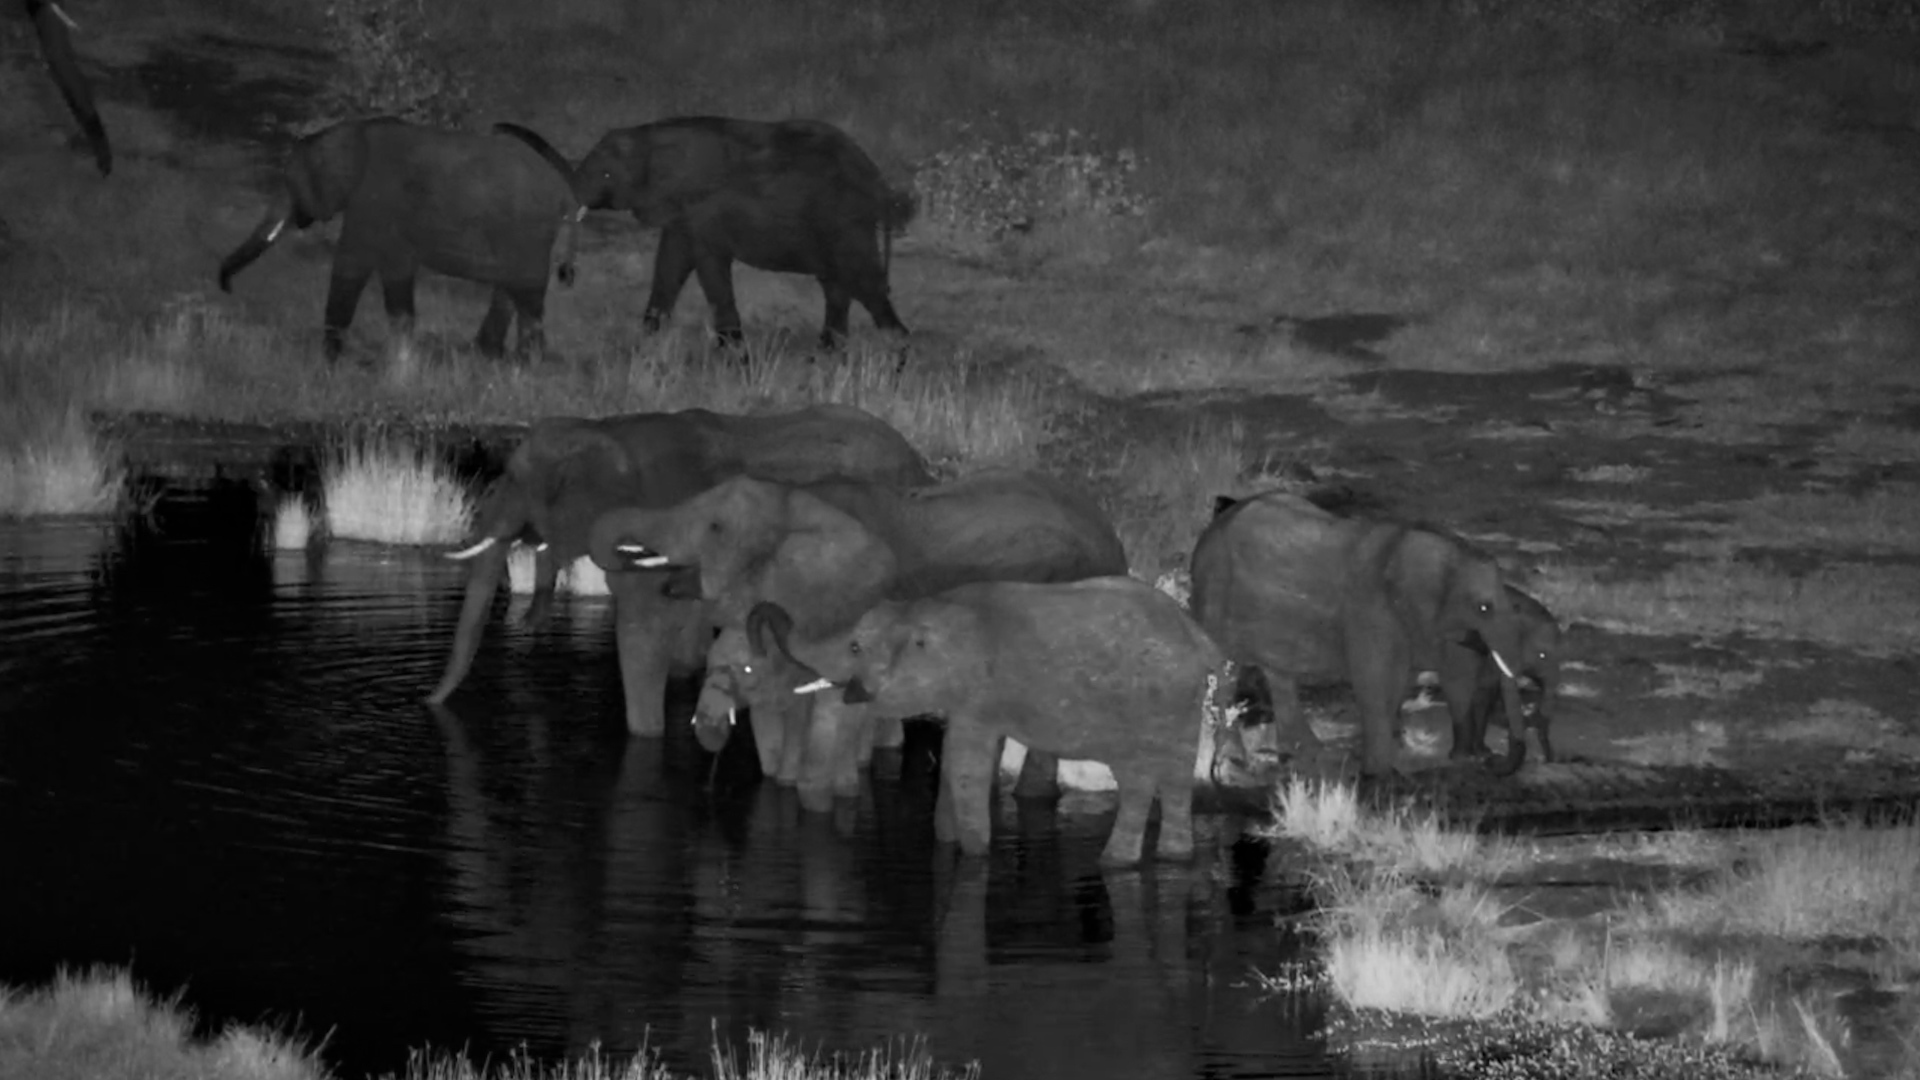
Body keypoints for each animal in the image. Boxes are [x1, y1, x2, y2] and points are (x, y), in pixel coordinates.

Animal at [217, 117, 584, 363]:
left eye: (291, 184)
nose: (227, 287)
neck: (352, 133)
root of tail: (566, 193)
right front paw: (401, 359)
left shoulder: (373, 202)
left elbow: (354, 264)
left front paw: (332, 362)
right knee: (511, 292)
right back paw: (488, 357)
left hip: (528, 234)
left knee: (528, 299)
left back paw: (523, 367)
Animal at [572, 116, 916, 347]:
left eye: (606, 174)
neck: (648, 136)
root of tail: (879, 184)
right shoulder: (683, 214)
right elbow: (670, 263)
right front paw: (647, 339)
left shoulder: (703, 210)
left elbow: (708, 268)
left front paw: (732, 352)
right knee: (838, 285)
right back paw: (828, 353)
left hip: (844, 224)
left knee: (861, 281)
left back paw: (897, 347)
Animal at [747, 576, 1286, 866]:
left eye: (856, 647)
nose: (756, 641)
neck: (932, 606)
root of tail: (1200, 635)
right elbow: (959, 762)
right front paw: (948, 845)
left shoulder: (979, 694)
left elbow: (968, 762)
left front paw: (975, 856)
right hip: (1178, 700)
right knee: (1172, 775)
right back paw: (1173, 859)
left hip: (1147, 705)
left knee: (1138, 777)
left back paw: (1114, 862)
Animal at [1188, 490, 1533, 778]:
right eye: (1484, 608)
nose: (1490, 760)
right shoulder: (1369, 610)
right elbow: (1375, 680)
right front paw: (1382, 775)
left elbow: (1426, 677)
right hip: (1213, 594)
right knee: (1225, 672)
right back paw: (1233, 767)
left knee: (1278, 674)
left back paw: (1308, 754)